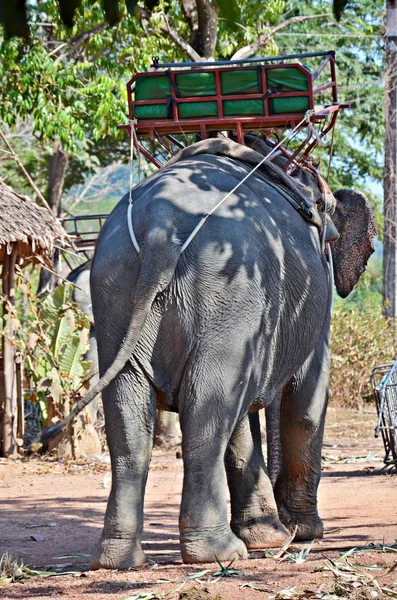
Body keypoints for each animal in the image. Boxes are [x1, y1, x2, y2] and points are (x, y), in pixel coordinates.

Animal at [43, 138, 374, 568]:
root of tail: (160, 226)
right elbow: (305, 399)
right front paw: (301, 534)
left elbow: (243, 413)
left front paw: (270, 537)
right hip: (228, 289)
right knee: (207, 414)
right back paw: (219, 553)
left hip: (117, 291)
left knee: (133, 420)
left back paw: (121, 560)